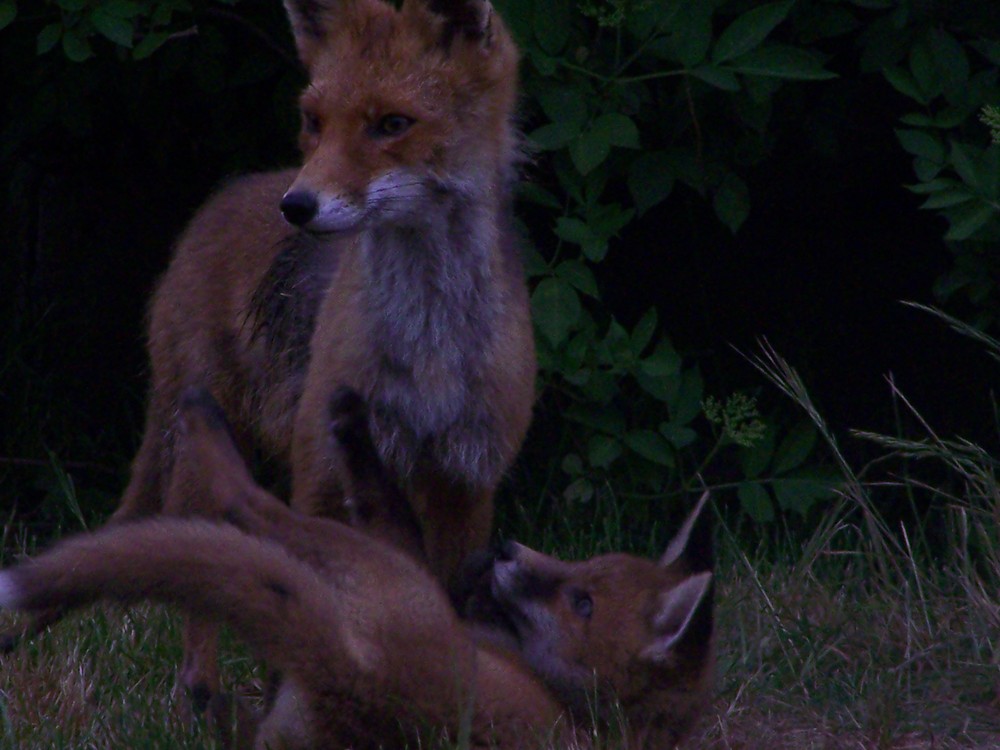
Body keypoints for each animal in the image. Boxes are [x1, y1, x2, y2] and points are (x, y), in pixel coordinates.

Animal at [1, 396, 720, 748]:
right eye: (584, 571)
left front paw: (354, 431)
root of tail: (357, 677)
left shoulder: (408, 564)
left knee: (248, 503)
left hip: (371, 567)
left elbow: (383, 503)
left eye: (582, 602)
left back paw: (205, 425)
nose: (504, 552)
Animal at [116, 0, 536, 584]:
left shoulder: (464, 483)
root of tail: (220, 199)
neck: (427, 345)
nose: (296, 206)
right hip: (207, 433)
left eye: (392, 124)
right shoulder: (323, 475)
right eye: (314, 121)